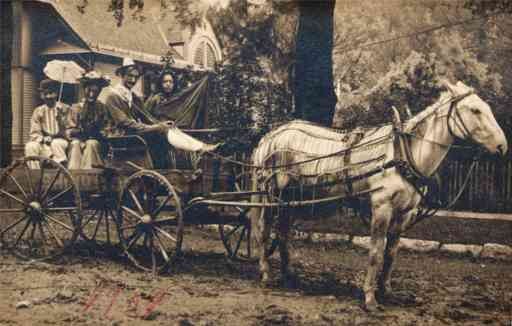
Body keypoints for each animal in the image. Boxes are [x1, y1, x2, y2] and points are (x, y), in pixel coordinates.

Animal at [249, 81, 508, 310]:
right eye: (475, 110)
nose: (502, 146)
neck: (402, 153)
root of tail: (269, 137)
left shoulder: (404, 213)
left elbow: (391, 253)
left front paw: (387, 291)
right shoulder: (381, 207)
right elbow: (375, 252)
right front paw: (369, 298)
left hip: (290, 199)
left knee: (283, 233)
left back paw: (289, 275)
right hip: (271, 195)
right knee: (263, 230)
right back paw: (266, 273)